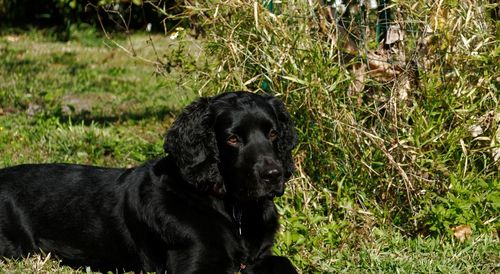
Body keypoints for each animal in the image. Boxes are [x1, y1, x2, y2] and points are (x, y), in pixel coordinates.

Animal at [0, 92, 296, 274]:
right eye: (232, 139)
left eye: (273, 133)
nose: (273, 175)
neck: (233, 210)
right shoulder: (193, 265)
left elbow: (285, 263)